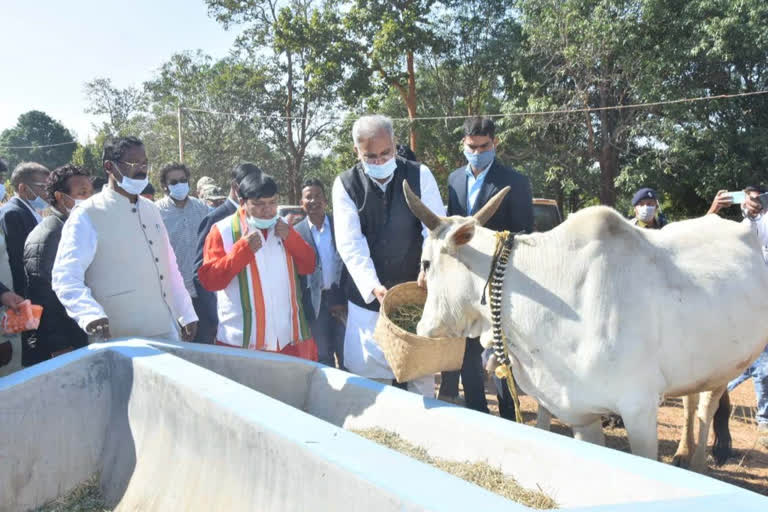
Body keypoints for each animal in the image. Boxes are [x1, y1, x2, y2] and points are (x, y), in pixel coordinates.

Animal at [402, 182, 768, 470]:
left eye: (426, 263)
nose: (422, 327)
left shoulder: (639, 406)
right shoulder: (580, 411)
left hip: (726, 364)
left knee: (707, 406)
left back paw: (698, 463)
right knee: (693, 402)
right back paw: (681, 453)